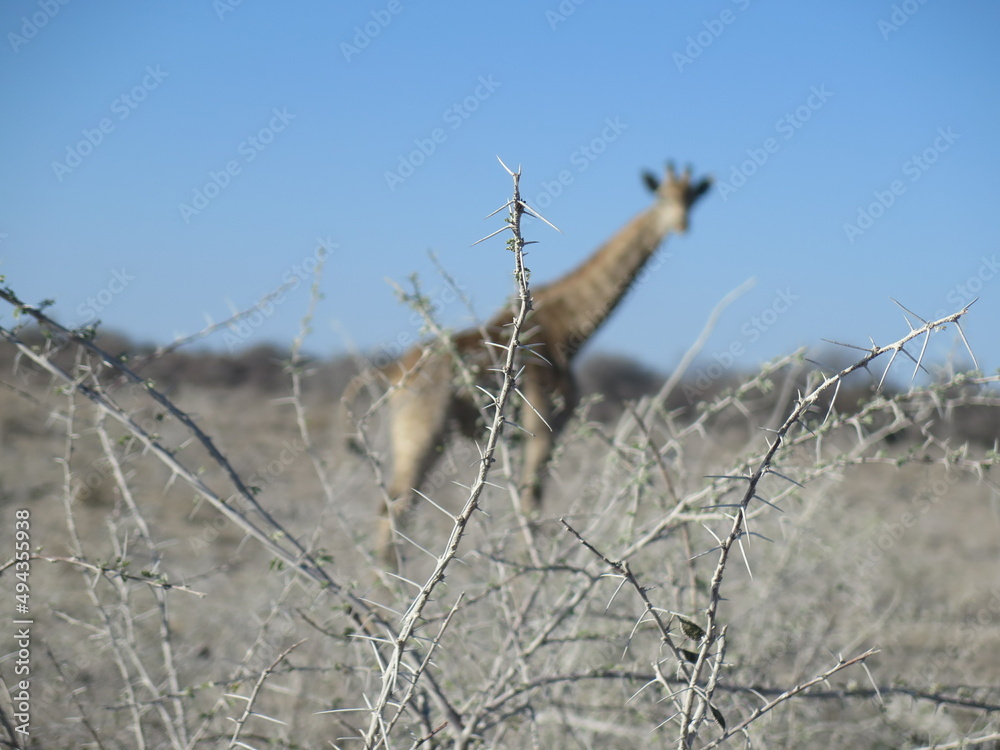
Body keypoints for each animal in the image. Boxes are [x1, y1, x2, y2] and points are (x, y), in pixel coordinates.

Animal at [345, 163, 712, 563]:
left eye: (691, 198)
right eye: (662, 197)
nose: (682, 224)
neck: (569, 331)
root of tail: (393, 372)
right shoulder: (545, 424)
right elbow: (530, 503)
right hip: (421, 431)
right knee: (396, 505)